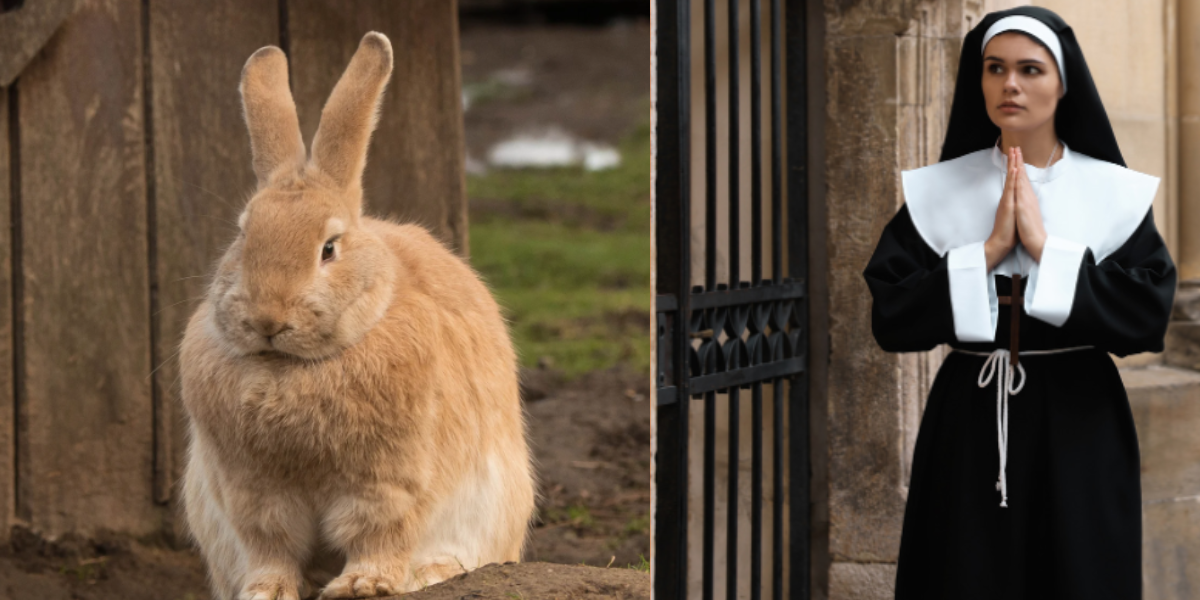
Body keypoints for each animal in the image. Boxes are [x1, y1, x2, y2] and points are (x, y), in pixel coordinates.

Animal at [178, 32, 536, 600]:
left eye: (329, 248)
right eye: (242, 233)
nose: (267, 318)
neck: (294, 369)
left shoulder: (388, 484)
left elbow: (378, 534)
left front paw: (361, 584)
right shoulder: (252, 494)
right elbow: (271, 548)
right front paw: (266, 591)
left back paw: (430, 572)